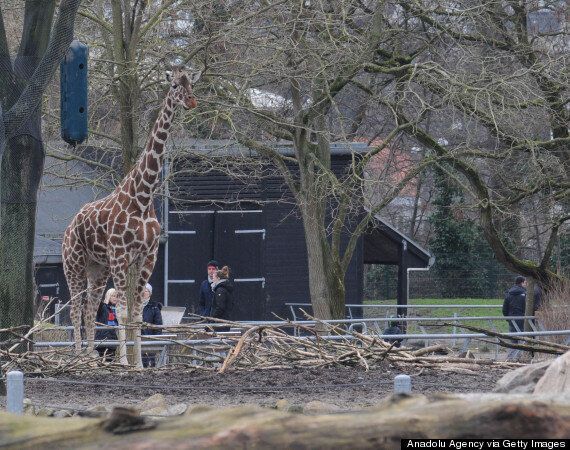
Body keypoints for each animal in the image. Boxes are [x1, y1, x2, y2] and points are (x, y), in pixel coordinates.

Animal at [61, 68, 200, 368]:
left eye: (191, 84)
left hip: (98, 268)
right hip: (74, 264)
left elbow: (136, 312)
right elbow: (123, 312)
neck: (142, 198)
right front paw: (125, 362)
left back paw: (91, 357)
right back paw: (77, 356)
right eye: (175, 85)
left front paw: (138, 364)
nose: (192, 101)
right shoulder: (120, 255)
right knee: (75, 308)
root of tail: (68, 227)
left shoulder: (147, 256)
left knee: (90, 308)